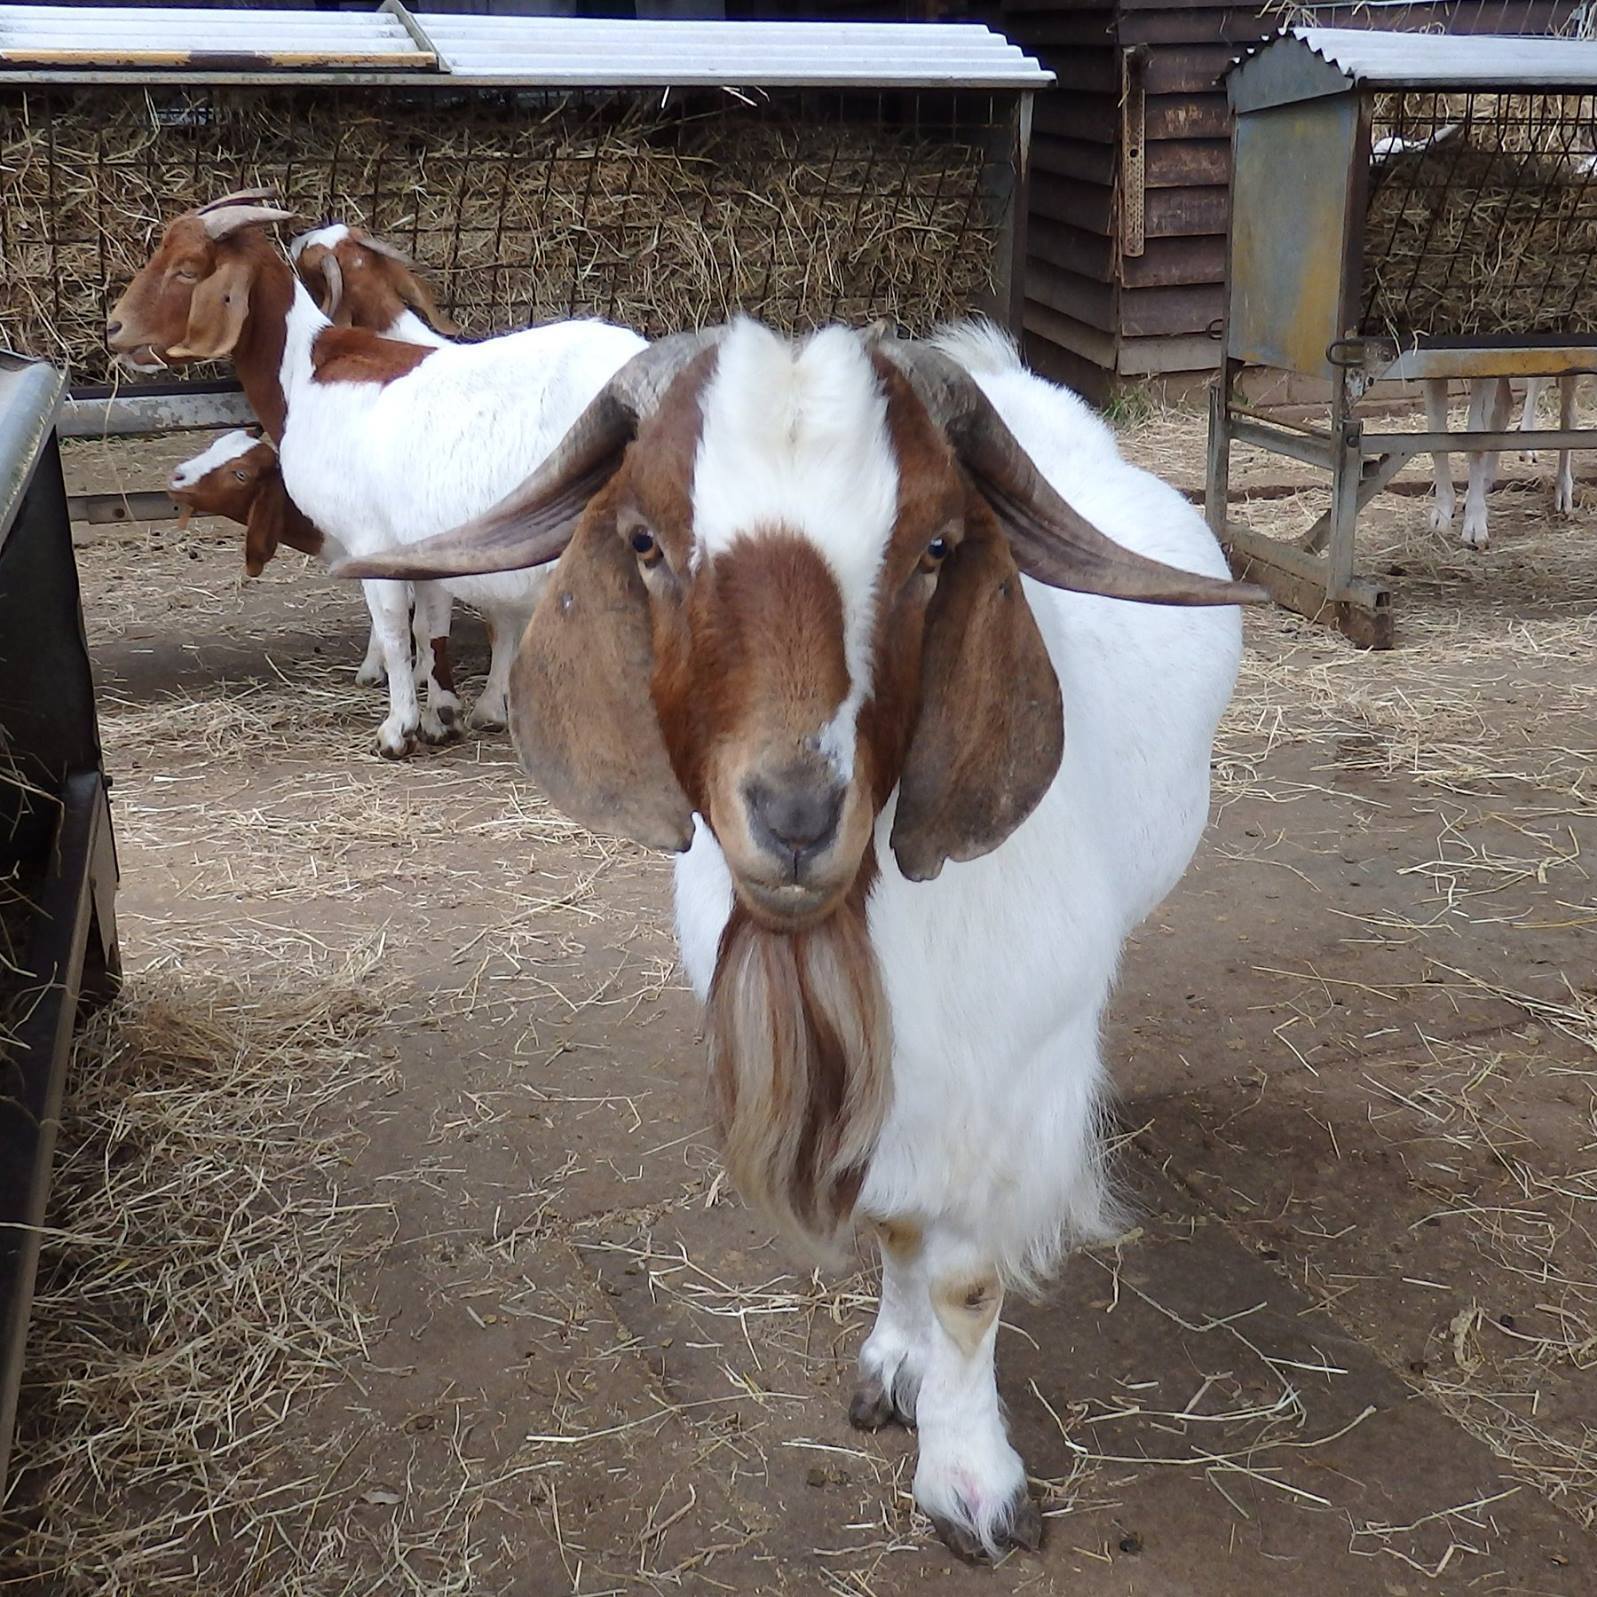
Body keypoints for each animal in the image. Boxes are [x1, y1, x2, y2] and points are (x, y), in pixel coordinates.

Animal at [107, 193, 646, 756]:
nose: (113, 328)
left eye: (188, 269)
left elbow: (393, 631)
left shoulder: (369, 539)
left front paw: (398, 728)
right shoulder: (424, 543)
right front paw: (441, 716)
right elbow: (432, 625)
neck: (304, 371)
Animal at [337, 317, 1261, 1560]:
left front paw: (972, 1483)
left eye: (934, 546)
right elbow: (895, 1232)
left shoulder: (996, 1077)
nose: (794, 814)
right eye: (646, 541)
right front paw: (891, 1365)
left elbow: (964, 1278)